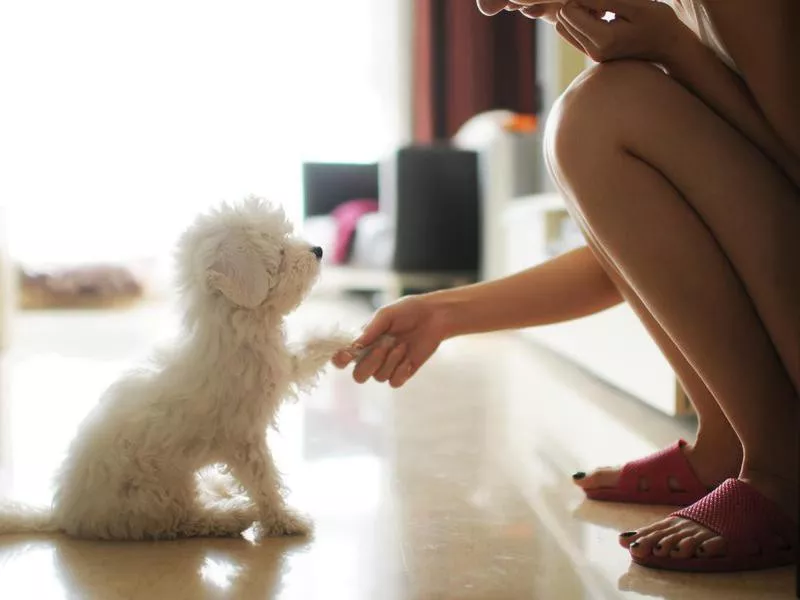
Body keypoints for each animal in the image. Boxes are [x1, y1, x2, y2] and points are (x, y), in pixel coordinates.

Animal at [0, 197, 354, 540]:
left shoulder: (280, 365)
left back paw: (220, 489)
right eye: (279, 250)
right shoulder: (243, 439)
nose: (318, 250)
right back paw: (232, 514)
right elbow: (264, 480)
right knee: (186, 520)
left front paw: (344, 340)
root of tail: (63, 516)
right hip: (159, 491)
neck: (236, 328)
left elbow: (305, 353)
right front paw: (284, 520)